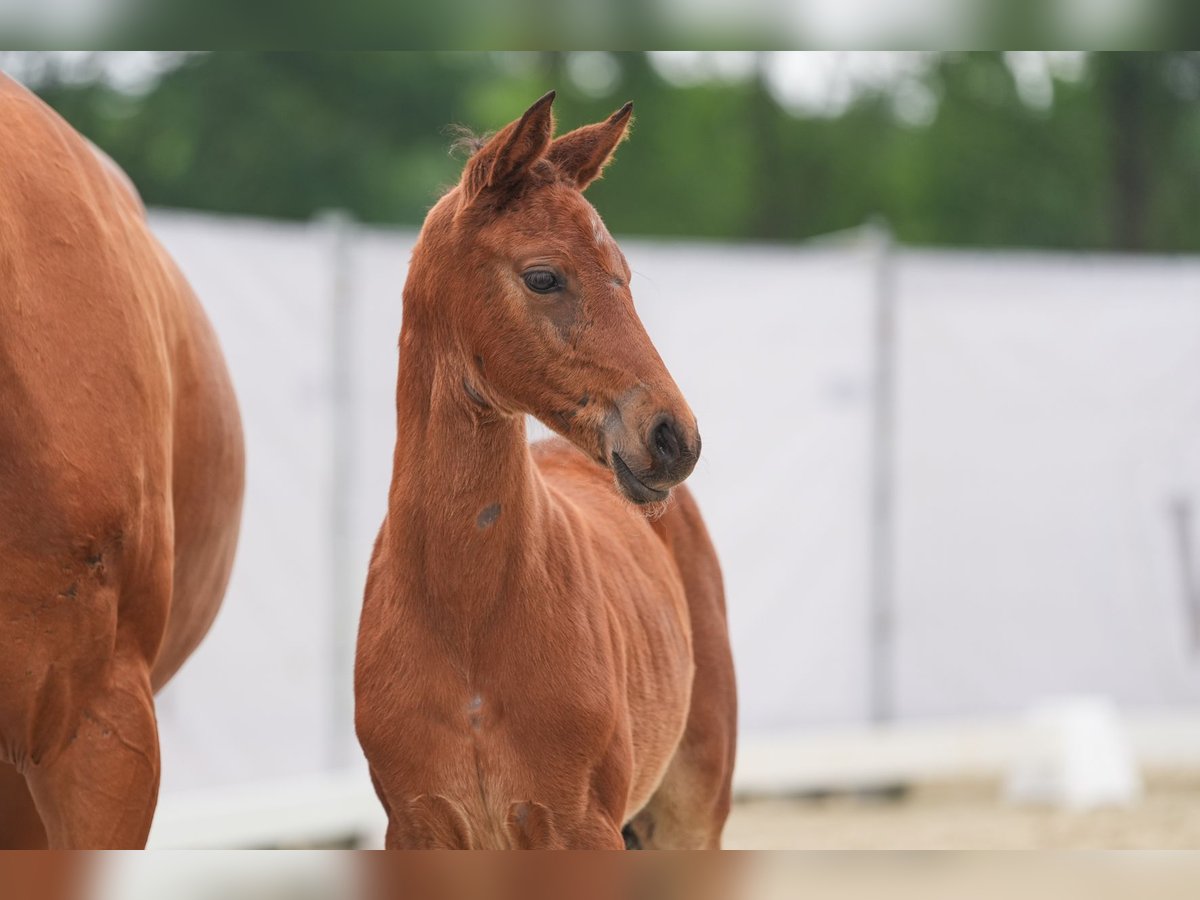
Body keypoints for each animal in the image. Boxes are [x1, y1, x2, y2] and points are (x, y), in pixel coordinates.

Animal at [350, 93, 734, 854]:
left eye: (623, 274)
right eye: (543, 277)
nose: (674, 437)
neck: (464, 619)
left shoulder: (581, 827)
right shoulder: (416, 827)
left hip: (691, 814)